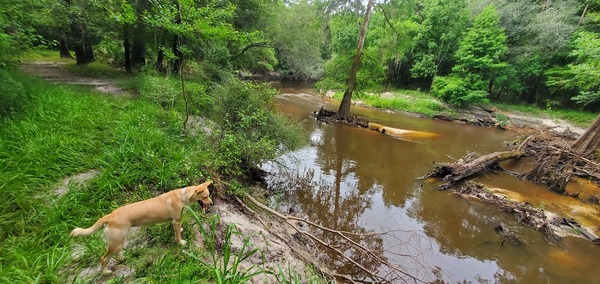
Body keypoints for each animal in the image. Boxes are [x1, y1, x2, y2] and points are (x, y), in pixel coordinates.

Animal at [70, 181, 213, 274]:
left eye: (209, 195)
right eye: (205, 196)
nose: (212, 203)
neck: (183, 196)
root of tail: (110, 216)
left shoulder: (176, 222)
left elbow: (178, 230)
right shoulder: (176, 222)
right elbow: (177, 235)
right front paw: (181, 242)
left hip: (118, 243)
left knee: (114, 254)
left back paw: (122, 259)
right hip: (118, 242)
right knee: (104, 258)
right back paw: (105, 272)